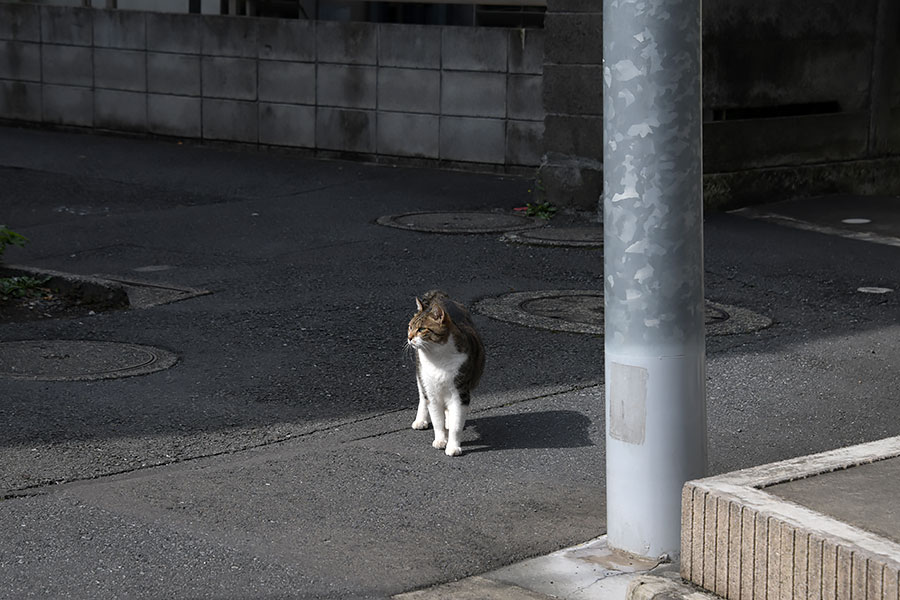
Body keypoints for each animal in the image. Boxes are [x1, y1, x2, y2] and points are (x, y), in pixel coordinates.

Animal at [408, 290, 486, 454]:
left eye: (421, 329)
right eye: (410, 327)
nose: (409, 337)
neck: (437, 358)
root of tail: (440, 295)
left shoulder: (460, 393)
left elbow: (457, 424)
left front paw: (453, 446)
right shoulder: (431, 392)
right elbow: (437, 420)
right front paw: (440, 440)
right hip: (421, 377)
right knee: (422, 397)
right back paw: (421, 420)